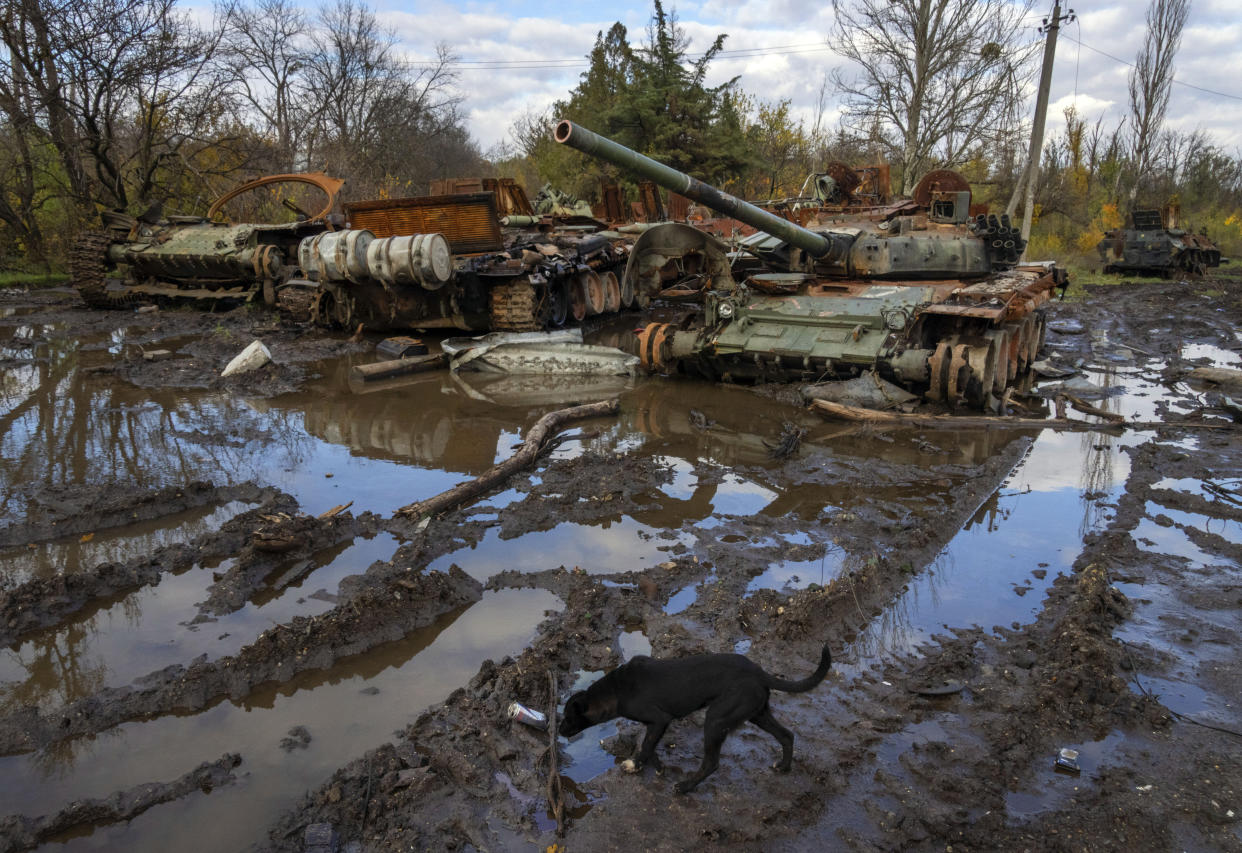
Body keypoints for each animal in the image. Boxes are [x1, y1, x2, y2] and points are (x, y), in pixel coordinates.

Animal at [558, 645, 829, 794]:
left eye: (568, 718)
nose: (559, 731)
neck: (616, 689)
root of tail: (759, 672)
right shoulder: (655, 725)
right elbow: (649, 747)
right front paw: (658, 767)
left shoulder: (659, 719)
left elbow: (645, 747)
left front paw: (634, 766)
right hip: (757, 713)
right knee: (786, 735)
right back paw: (783, 767)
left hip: (716, 720)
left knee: (711, 763)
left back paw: (685, 787)